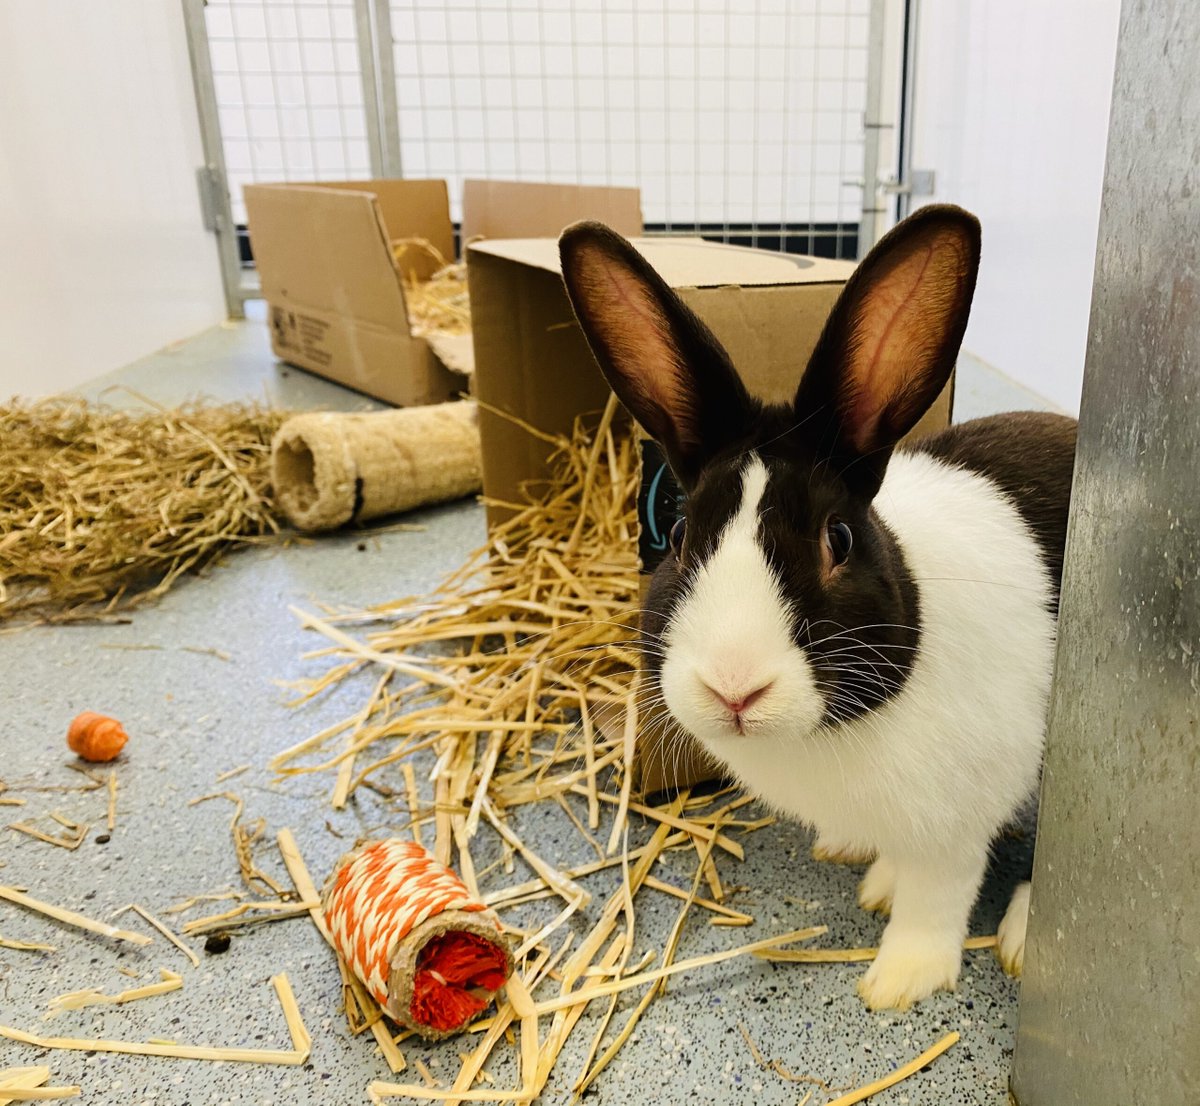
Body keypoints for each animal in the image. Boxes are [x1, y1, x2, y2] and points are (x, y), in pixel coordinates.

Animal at [558, 205, 1077, 1010]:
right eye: (680, 534)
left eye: (838, 538)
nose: (734, 688)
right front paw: (868, 874)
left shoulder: (957, 821)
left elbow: (938, 896)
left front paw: (897, 982)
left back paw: (1021, 941)